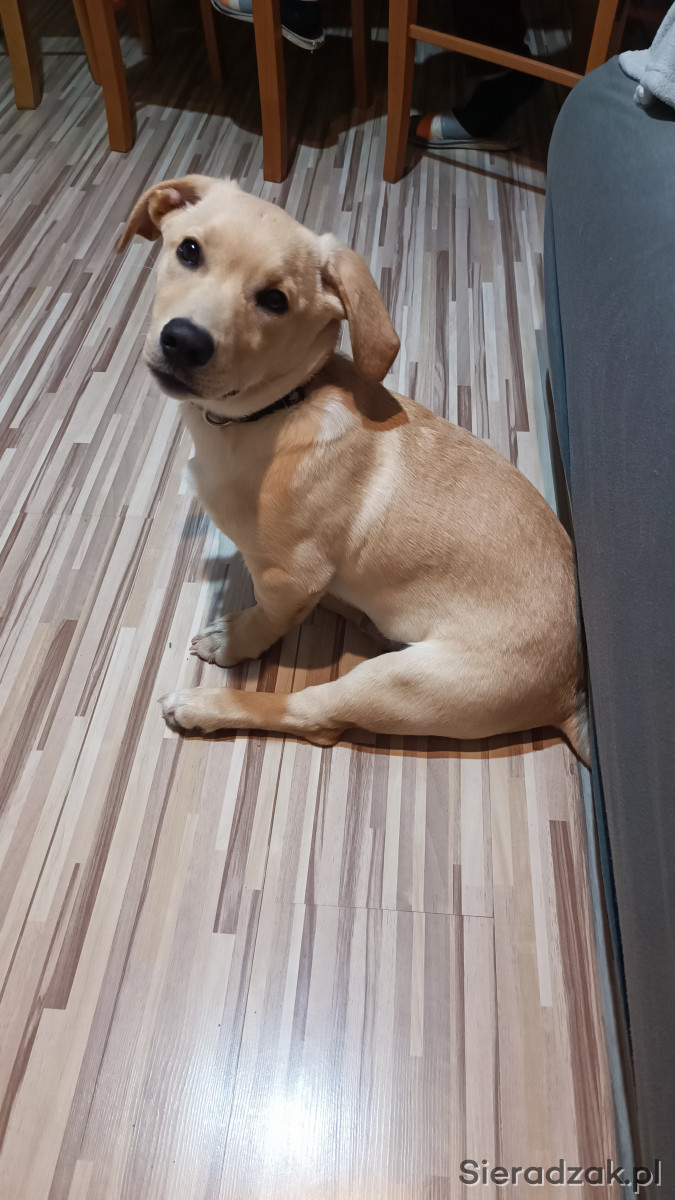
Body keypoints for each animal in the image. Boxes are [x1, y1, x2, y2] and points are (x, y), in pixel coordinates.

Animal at [118, 175, 589, 762]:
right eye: (188, 250)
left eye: (275, 301)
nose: (183, 341)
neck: (279, 409)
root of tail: (566, 692)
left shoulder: (290, 576)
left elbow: (267, 618)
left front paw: (235, 640)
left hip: (403, 682)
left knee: (313, 717)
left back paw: (205, 707)